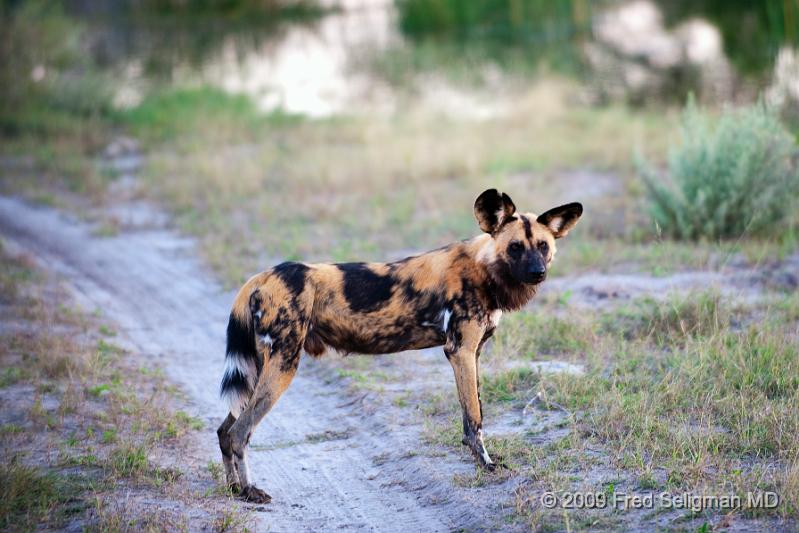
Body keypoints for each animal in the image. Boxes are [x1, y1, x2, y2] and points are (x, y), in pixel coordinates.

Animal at [217, 189, 580, 500]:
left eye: (543, 246)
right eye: (515, 247)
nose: (537, 272)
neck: (484, 269)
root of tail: (261, 276)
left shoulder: (472, 353)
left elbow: (475, 414)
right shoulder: (460, 352)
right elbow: (474, 421)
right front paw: (486, 466)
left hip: (261, 368)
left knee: (225, 430)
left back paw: (234, 489)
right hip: (283, 365)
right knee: (239, 433)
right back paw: (250, 492)